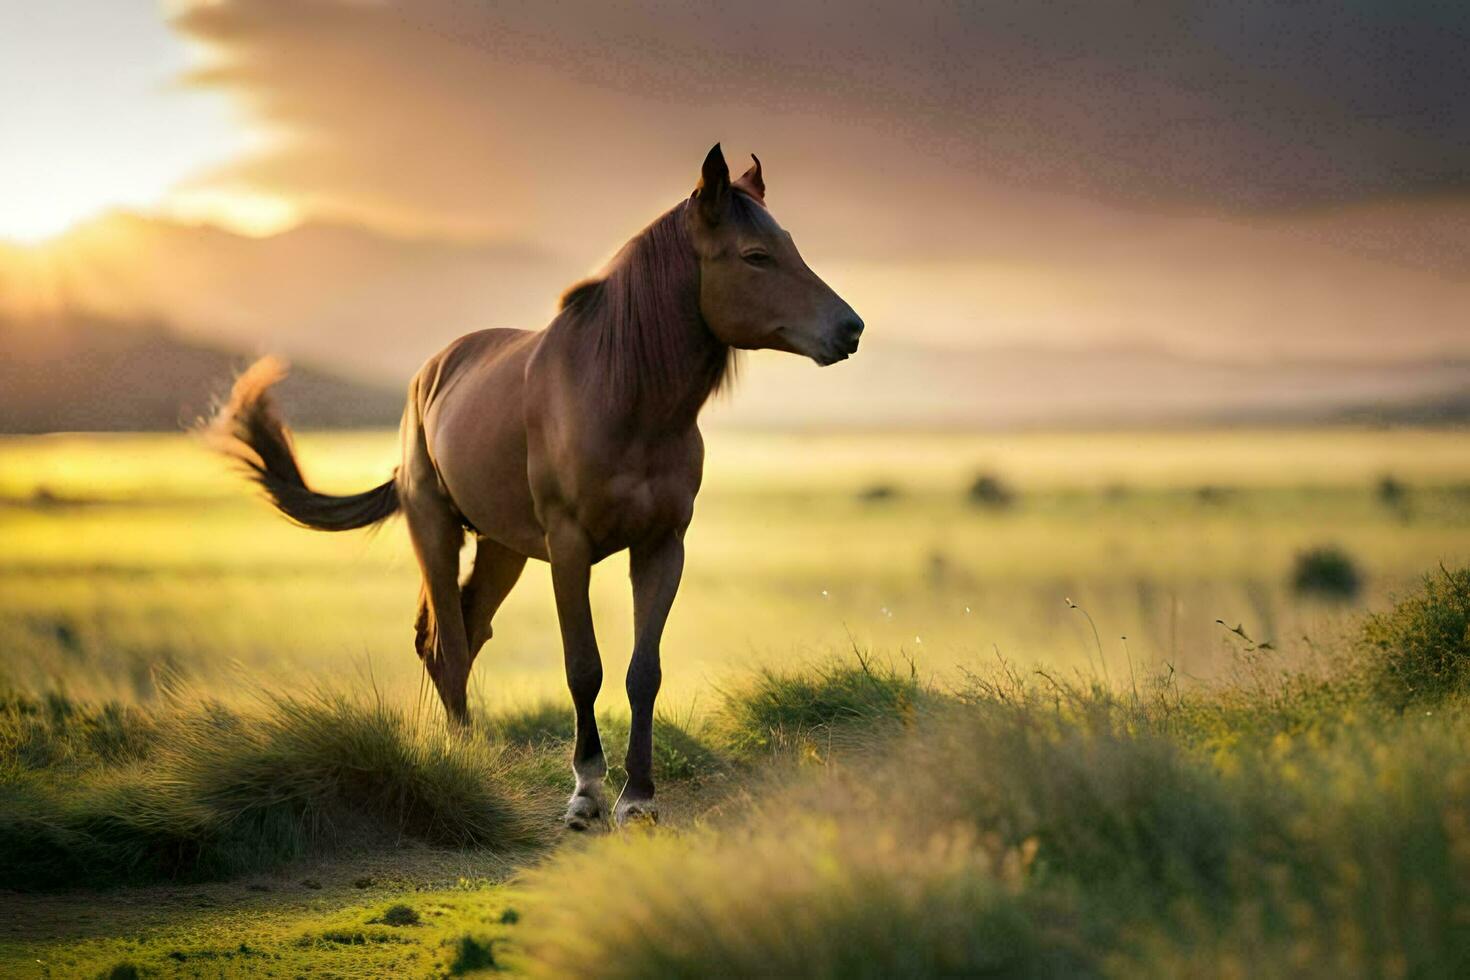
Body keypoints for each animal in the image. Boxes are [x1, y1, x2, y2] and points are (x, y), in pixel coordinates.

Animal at [213, 145, 864, 828]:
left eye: (788, 245)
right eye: (755, 255)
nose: (850, 329)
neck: (624, 398)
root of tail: (432, 373)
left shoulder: (662, 546)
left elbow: (643, 672)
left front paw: (638, 796)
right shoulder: (570, 548)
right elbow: (584, 667)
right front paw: (585, 793)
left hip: (503, 548)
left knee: (466, 634)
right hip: (435, 529)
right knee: (447, 645)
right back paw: (463, 762)